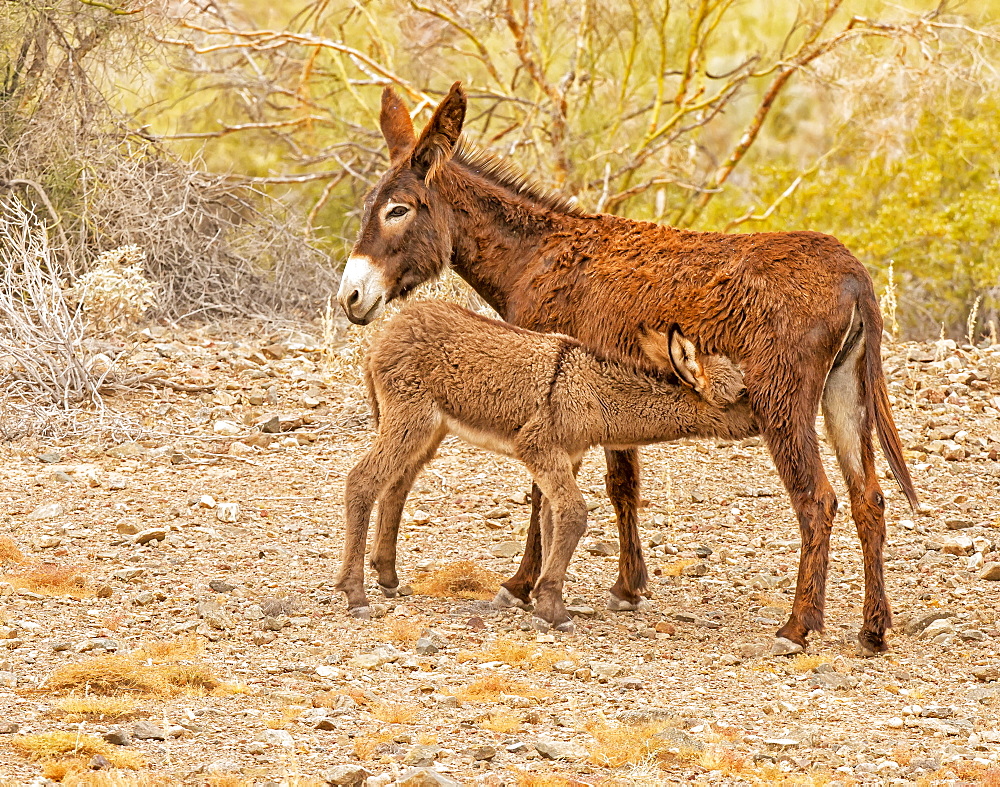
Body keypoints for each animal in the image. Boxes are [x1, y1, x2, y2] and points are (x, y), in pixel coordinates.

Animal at [334, 302, 752, 636]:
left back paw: (386, 576)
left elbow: (552, 521)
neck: (593, 391)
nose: (763, 419)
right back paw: (356, 595)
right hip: (410, 418)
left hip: (427, 431)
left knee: (396, 485)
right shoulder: (538, 447)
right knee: (361, 481)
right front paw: (552, 607)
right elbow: (574, 514)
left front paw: (542, 604)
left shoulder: (568, 456)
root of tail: (386, 332)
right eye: (742, 394)